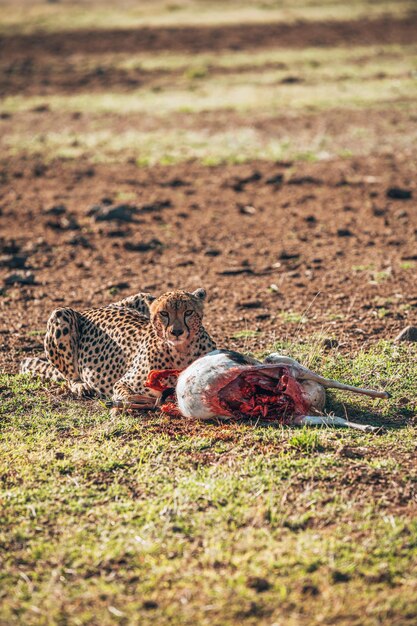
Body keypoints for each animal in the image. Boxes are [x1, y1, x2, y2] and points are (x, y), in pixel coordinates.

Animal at [19, 288, 216, 400]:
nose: (176, 332)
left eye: (188, 312)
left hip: (142, 295)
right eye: (164, 314)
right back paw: (81, 385)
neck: (181, 351)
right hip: (61, 313)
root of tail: (90, 309)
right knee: (69, 377)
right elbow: (125, 394)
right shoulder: (123, 382)